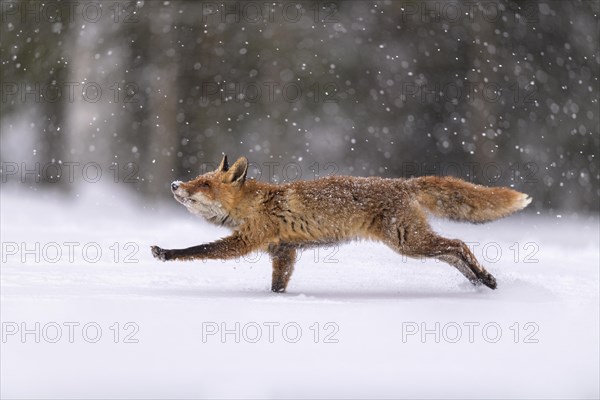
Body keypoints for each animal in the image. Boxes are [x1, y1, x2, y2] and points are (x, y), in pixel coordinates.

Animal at [152, 155, 532, 292]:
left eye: (203, 184)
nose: (174, 184)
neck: (254, 204)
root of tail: (403, 183)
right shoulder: (284, 251)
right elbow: (278, 285)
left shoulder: (247, 240)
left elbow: (198, 249)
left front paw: (166, 253)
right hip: (413, 242)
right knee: (452, 252)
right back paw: (479, 281)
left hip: (407, 242)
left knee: (458, 245)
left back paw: (484, 277)